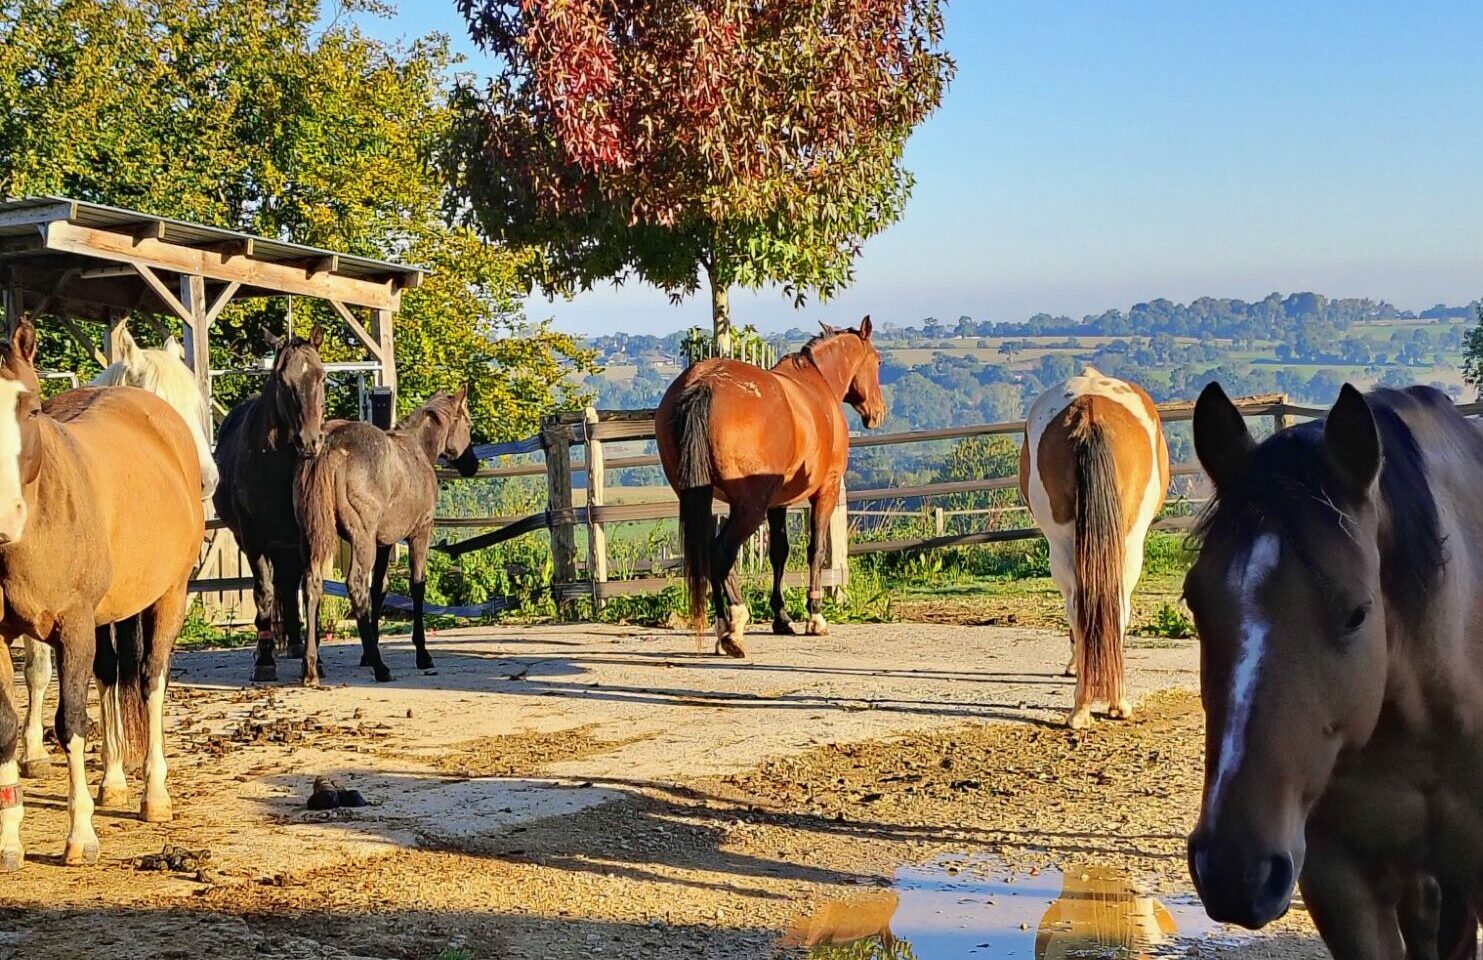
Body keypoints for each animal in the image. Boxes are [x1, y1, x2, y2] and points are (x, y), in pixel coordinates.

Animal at [0, 321, 204, 870]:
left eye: (31, 408)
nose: (5, 515)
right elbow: (5, 723)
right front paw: (9, 842)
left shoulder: (73, 626)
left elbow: (71, 721)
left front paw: (80, 834)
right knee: (115, 676)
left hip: (169, 596)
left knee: (151, 679)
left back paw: (154, 794)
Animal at [213, 326, 326, 682]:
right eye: (281, 378)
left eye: (322, 375)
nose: (310, 442)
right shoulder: (254, 539)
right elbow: (263, 592)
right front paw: (264, 660)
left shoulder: (306, 537)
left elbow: (307, 587)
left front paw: (313, 660)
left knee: (289, 586)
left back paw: (295, 643)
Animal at [296, 388, 478, 684]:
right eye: (468, 424)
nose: (472, 465)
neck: (417, 451)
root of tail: (330, 446)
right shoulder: (420, 533)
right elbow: (417, 585)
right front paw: (422, 654)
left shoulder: (384, 543)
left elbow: (379, 588)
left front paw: (365, 654)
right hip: (361, 540)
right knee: (356, 585)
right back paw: (380, 667)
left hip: (311, 536)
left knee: (312, 585)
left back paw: (311, 667)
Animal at [655, 318, 885, 657]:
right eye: (878, 361)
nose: (878, 411)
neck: (818, 384)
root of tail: (705, 382)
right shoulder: (825, 492)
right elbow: (816, 550)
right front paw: (815, 616)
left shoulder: (779, 503)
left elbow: (779, 552)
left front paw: (781, 617)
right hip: (750, 508)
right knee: (722, 552)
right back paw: (734, 628)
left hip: (704, 498)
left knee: (713, 554)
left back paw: (724, 627)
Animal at [1018, 366, 1169, 728]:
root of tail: (1091, 412)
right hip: (1127, 540)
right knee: (1109, 605)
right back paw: (1109, 702)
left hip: (1065, 543)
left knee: (1084, 608)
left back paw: (1087, 705)